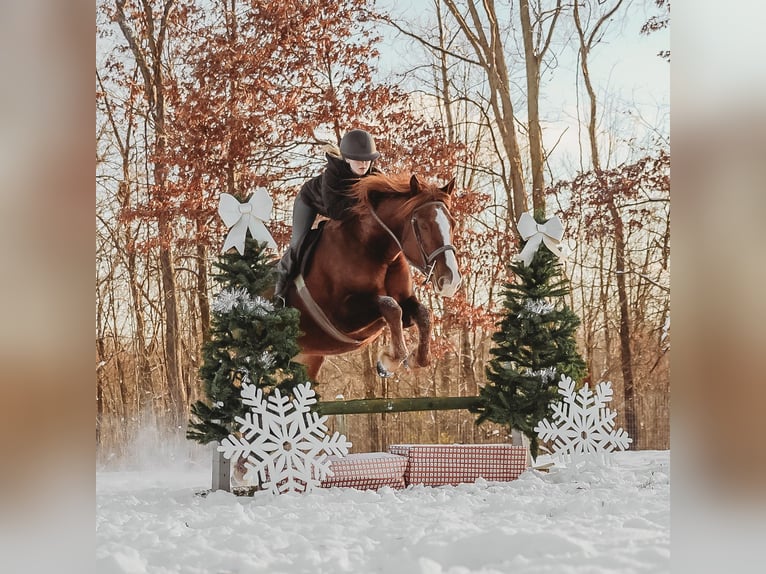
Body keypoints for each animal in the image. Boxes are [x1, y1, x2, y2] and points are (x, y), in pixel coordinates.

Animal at [283, 172, 462, 380]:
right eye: (424, 225)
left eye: (453, 224)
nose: (451, 280)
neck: (378, 253)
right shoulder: (339, 317)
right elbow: (390, 306)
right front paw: (390, 361)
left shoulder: (405, 302)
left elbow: (424, 315)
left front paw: (415, 358)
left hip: (309, 357)